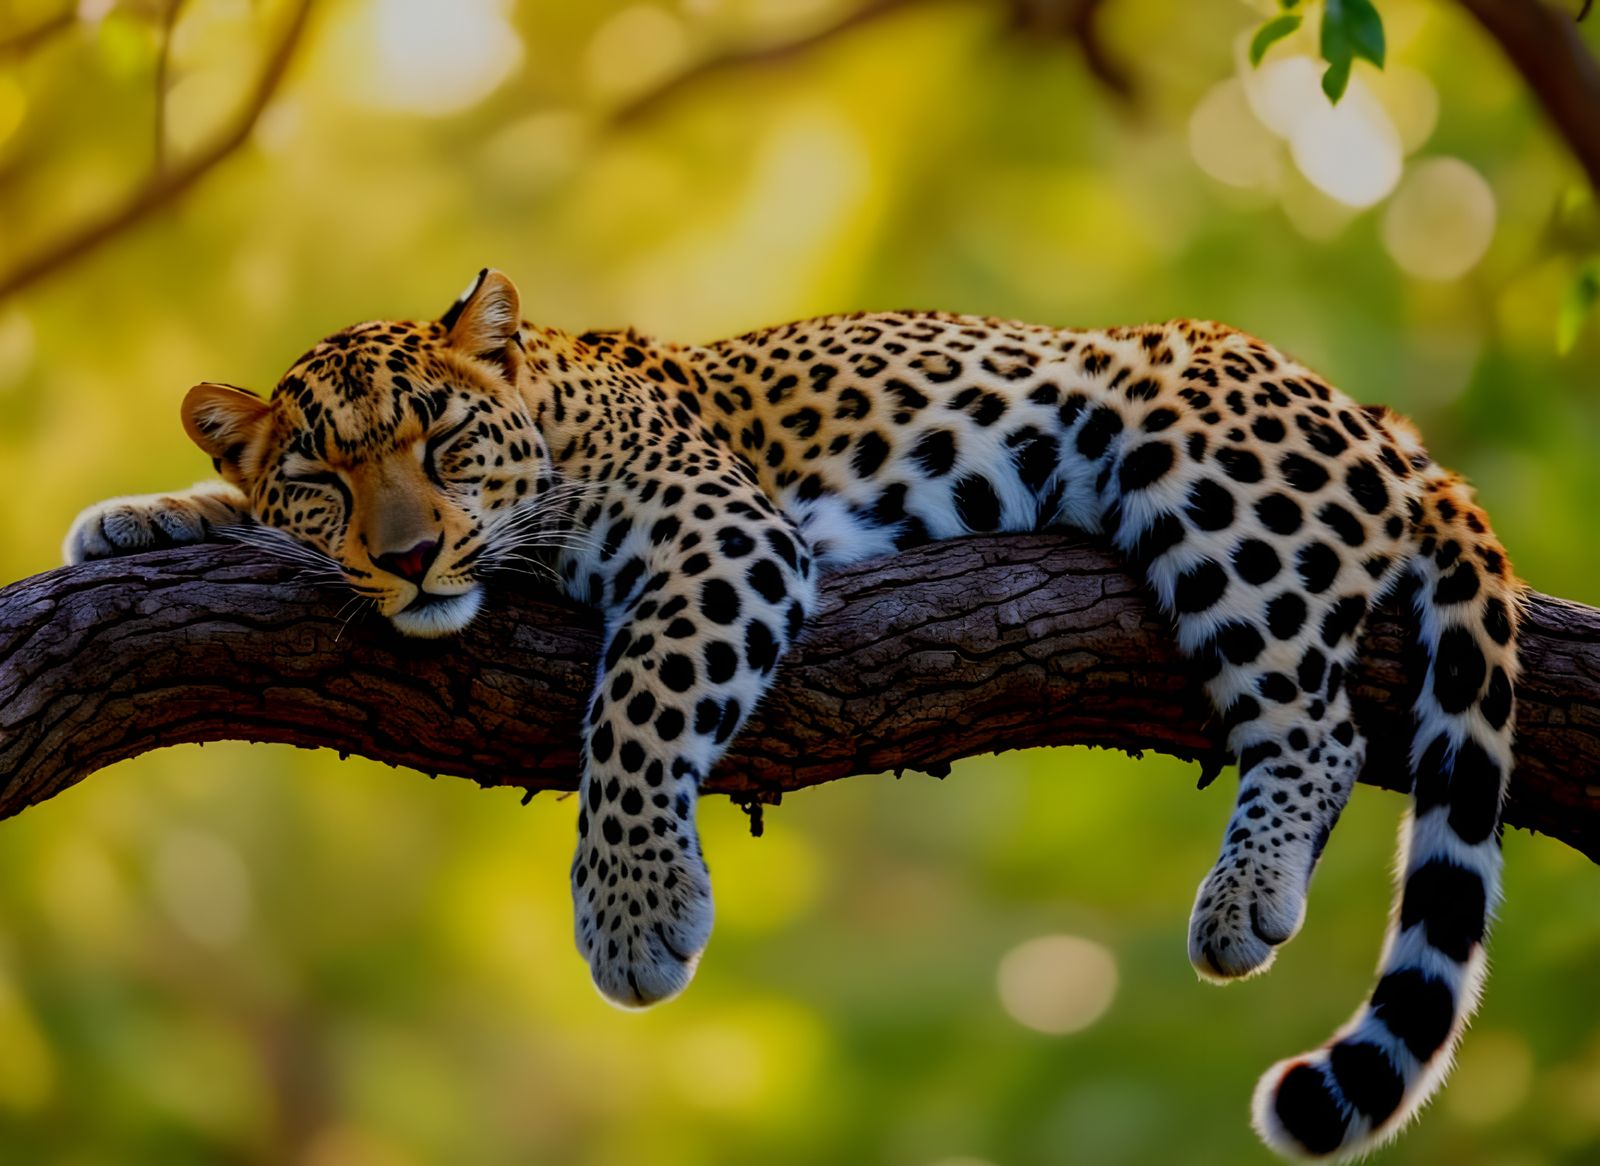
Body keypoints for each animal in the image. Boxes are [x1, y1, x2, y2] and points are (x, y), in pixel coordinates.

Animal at [65, 269, 1521, 1160]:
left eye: (442, 440)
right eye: (323, 474)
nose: (412, 555)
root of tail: (1385, 424)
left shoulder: (719, 532)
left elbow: (636, 707)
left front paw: (636, 912)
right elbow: (234, 505)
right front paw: (139, 515)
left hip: (1207, 470)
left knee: (1318, 722)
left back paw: (1245, 892)